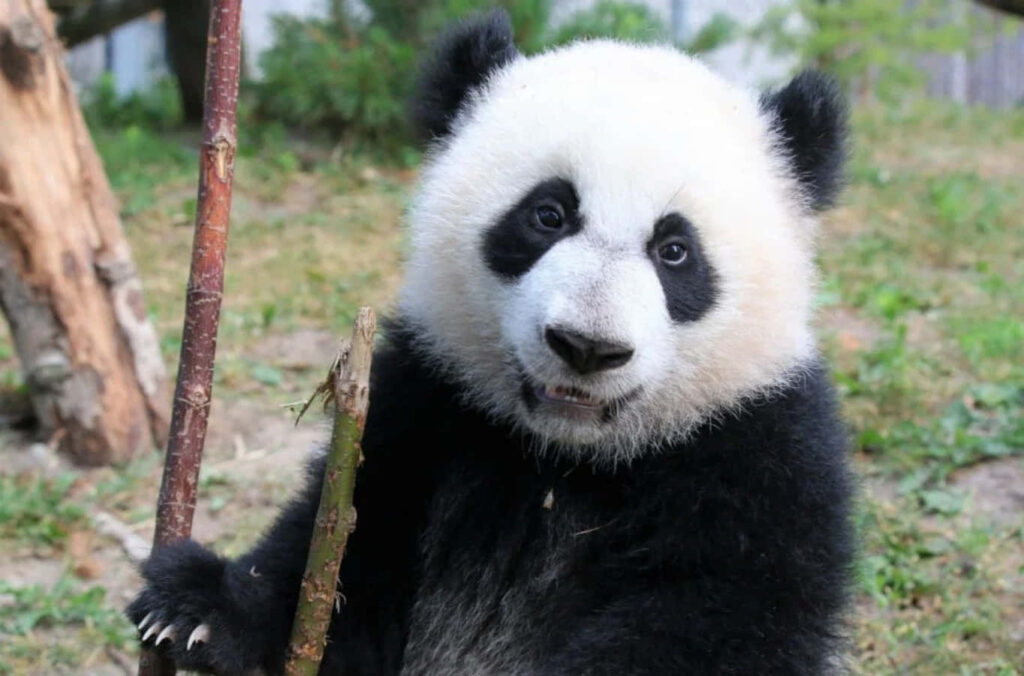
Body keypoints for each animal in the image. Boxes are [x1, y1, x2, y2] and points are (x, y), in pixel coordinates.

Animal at [128, 10, 854, 675]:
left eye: (675, 250)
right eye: (547, 215)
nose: (587, 347)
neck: (566, 458)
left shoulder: (759, 454)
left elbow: (715, 623)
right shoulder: (425, 401)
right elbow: (345, 556)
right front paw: (200, 606)